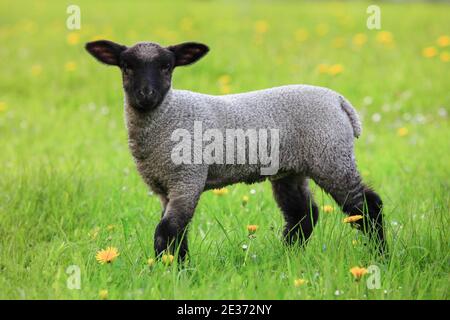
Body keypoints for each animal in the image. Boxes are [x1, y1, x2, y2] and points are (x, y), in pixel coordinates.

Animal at [85, 40, 386, 260]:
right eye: (126, 66)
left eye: (167, 66)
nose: (146, 94)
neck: (168, 114)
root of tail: (338, 100)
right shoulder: (164, 187)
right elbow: (175, 232)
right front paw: (175, 266)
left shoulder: (187, 178)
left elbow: (168, 230)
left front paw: (172, 271)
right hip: (291, 168)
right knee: (303, 214)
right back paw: (288, 257)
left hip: (331, 156)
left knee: (368, 206)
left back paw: (380, 256)